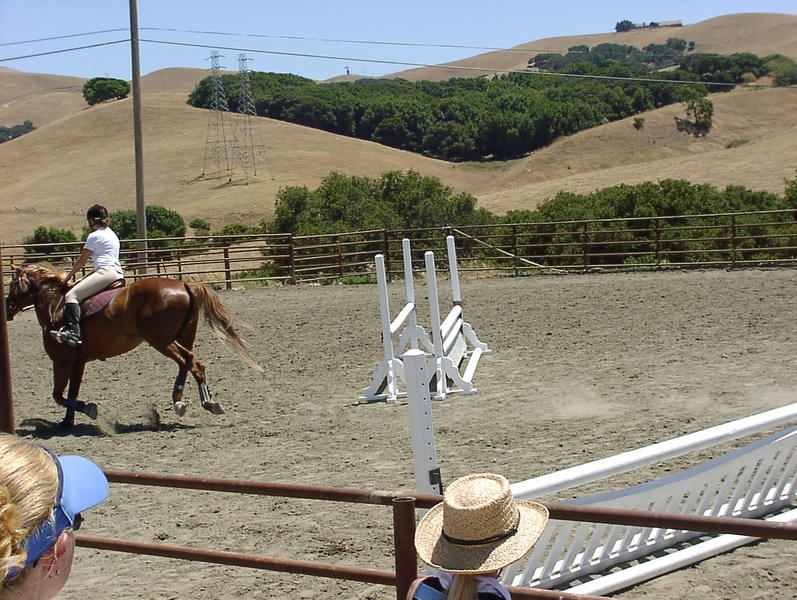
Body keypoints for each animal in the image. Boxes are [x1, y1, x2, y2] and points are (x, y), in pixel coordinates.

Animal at [4, 262, 262, 429]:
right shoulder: (78, 363)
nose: (7, 309)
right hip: (181, 336)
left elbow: (58, 395)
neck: (55, 306)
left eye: (13, 284)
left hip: (160, 339)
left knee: (189, 361)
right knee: (191, 363)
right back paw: (196, 402)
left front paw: (88, 409)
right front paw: (67, 422)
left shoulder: (62, 361)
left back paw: (191, 401)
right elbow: (71, 393)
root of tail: (184, 285)